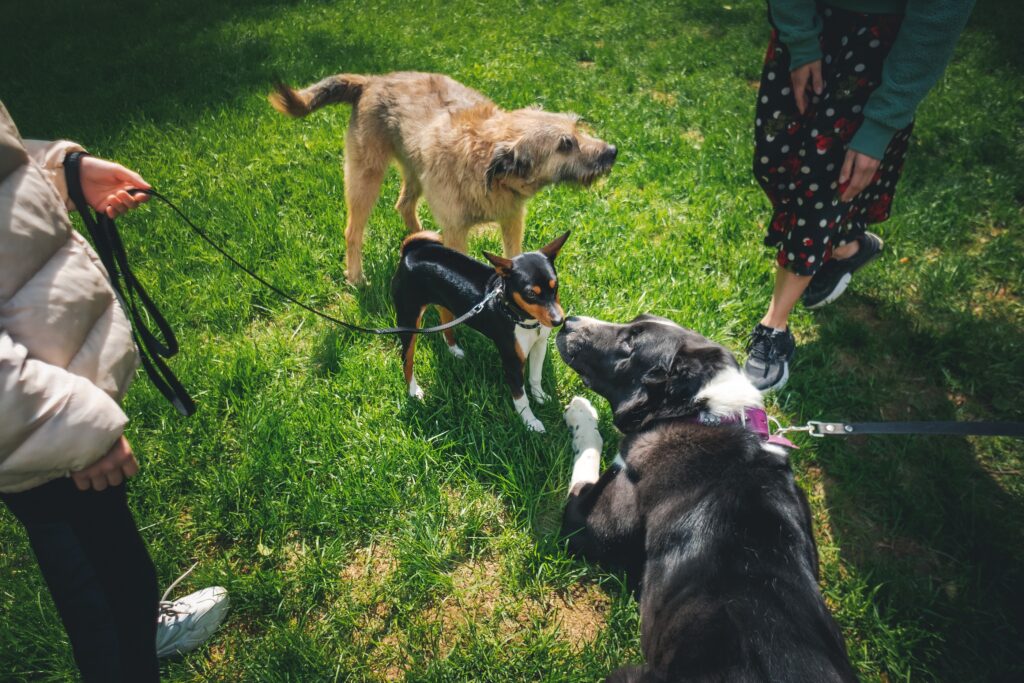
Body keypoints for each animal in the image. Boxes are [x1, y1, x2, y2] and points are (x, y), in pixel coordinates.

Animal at [268, 74, 614, 286]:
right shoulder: (457, 232)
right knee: (353, 231)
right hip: (365, 178)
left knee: (403, 204)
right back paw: (355, 277)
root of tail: (371, 82)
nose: (612, 152)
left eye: (577, 127)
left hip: (416, 172)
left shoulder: (512, 220)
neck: (487, 161)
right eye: (564, 145)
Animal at [389, 232, 569, 430]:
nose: (559, 320)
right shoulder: (512, 362)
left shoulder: (539, 344)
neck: (522, 318)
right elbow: (521, 398)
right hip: (409, 320)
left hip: (446, 304)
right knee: (407, 359)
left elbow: (535, 376)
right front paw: (530, 422)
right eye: (531, 294)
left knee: (445, 324)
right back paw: (414, 390)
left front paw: (540, 397)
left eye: (556, 285)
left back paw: (454, 350)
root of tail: (410, 252)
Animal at [557, 315, 860, 683]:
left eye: (631, 343)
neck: (700, 412)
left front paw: (581, 413)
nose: (568, 320)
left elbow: (590, 448)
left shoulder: (586, 522)